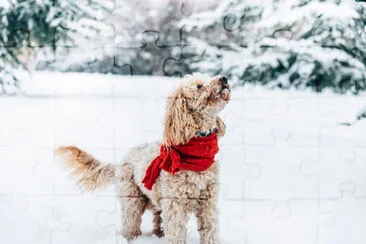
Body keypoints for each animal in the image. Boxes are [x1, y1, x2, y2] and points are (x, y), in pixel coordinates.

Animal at [55, 74, 230, 244]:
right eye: (199, 86)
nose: (224, 78)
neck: (198, 150)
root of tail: (120, 163)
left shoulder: (208, 204)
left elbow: (209, 231)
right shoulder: (175, 205)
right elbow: (176, 234)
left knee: (158, 221)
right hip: (132, 199)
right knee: (131, 222)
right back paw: (131, 238)